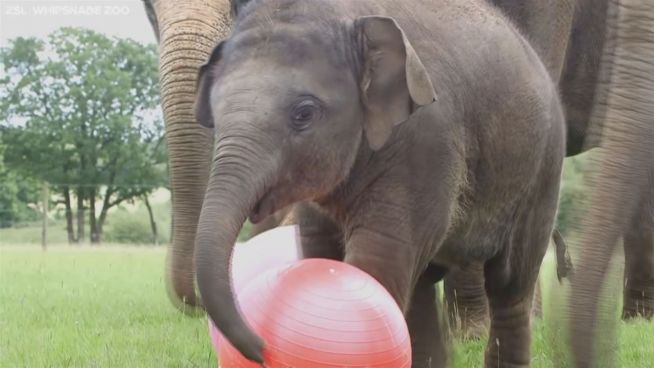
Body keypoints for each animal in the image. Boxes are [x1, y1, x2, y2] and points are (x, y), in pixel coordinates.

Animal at [195, 0, 568, 368]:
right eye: (215, 114)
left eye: (304, 113)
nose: (262, 347)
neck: (350, 15)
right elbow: (320, 249)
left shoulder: (426, 142)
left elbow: (379, 258)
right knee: (423, 285)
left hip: (543, 170)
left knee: (510, 284)